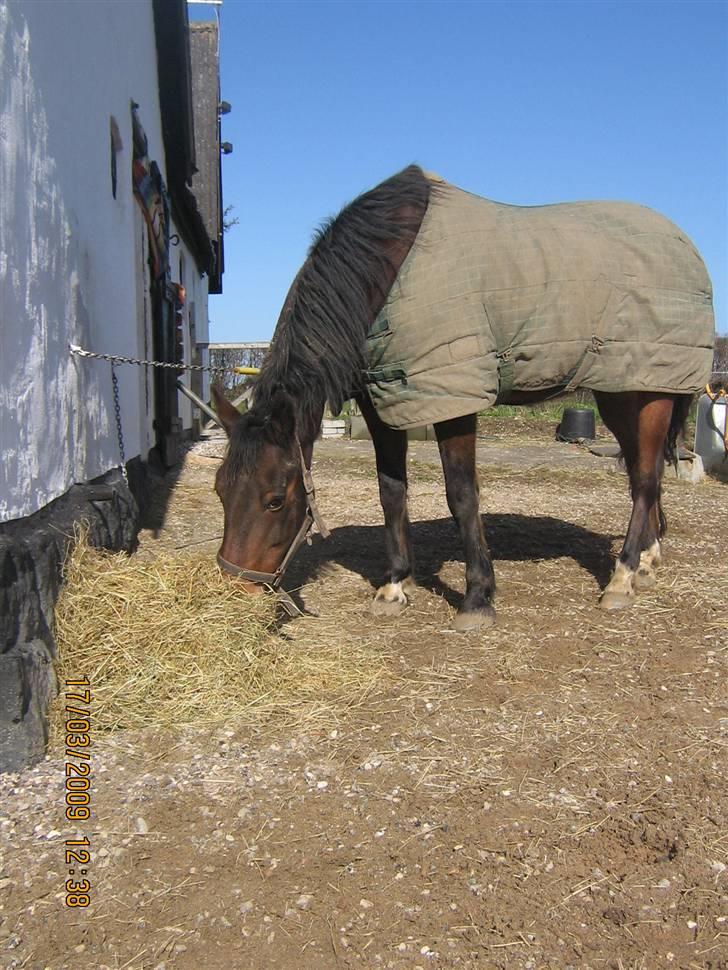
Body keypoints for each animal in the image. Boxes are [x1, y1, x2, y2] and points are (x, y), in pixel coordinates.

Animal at [213, 166, 712, 628]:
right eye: (220, 491)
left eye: (275, 500)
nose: (236, 589)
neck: (389, 270)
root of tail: (682, 243)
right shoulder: (383, 399)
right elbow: (391, 491)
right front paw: (394, 585)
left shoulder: (453, 395)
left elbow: (461, 494)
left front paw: (477, 598)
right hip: (618, 391)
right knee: (645, 474)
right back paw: (647, 560)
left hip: (646, 392)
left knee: (644, 479)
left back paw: (622, 578)